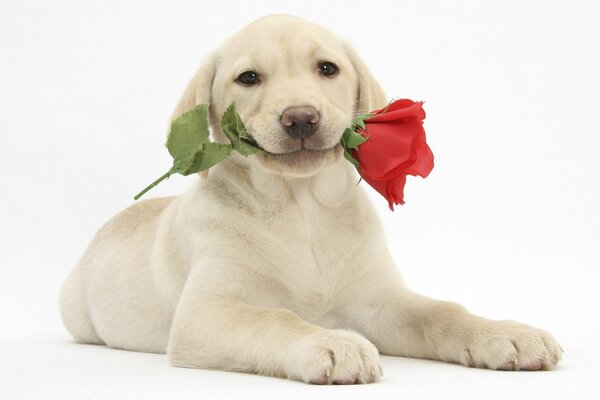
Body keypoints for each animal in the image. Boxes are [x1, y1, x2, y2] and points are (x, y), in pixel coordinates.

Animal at [58, 14, 560, 384]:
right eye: (248, 78)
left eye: (326, 69)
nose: (300, 118)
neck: (303, 209)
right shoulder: (205, 312)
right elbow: (275, 318)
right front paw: (330, 342)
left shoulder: (380, 302)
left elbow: (441, 311)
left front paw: (505, 333)